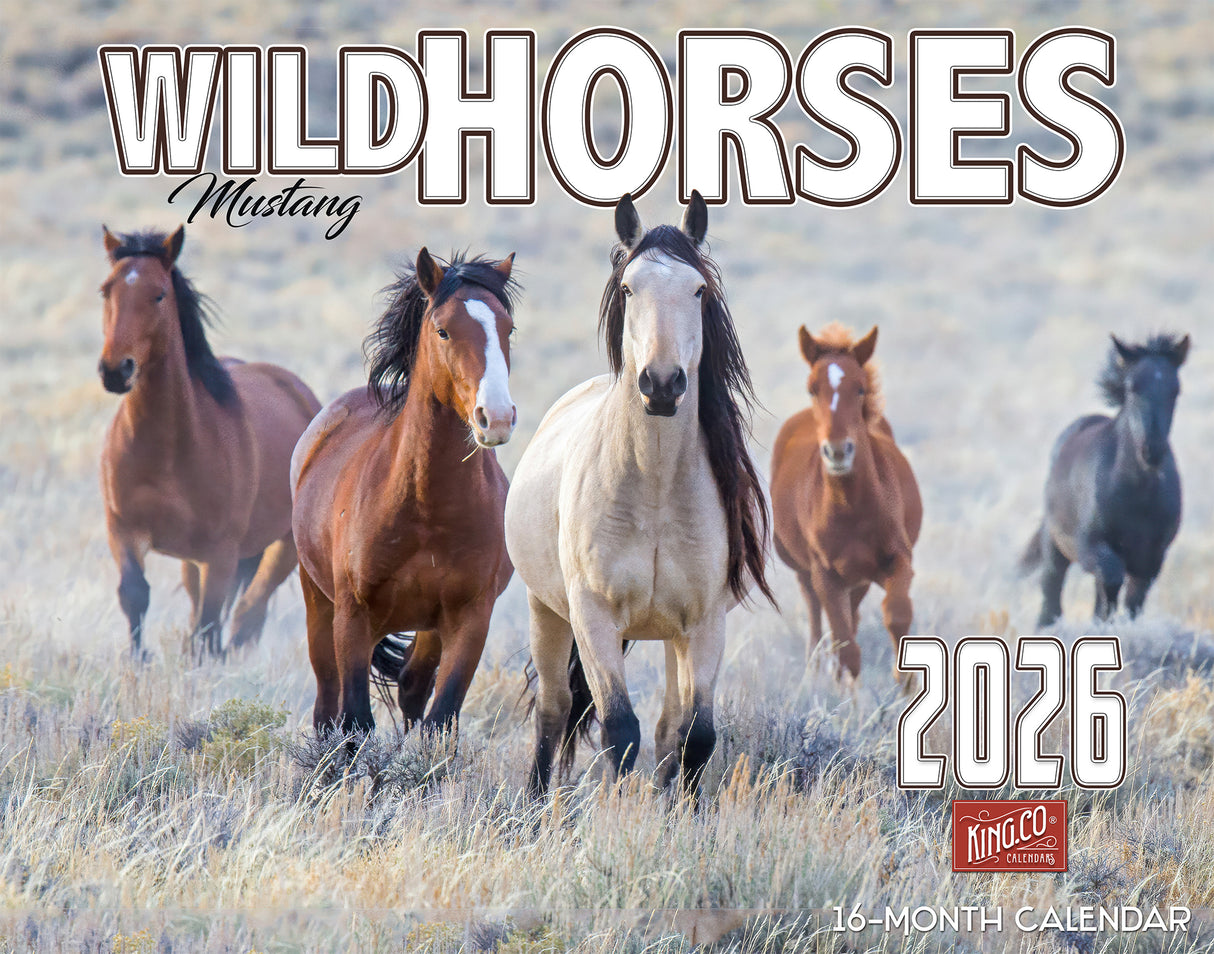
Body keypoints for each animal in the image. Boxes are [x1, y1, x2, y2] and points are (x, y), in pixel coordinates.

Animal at [98, 225, 321, 658]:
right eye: (106, 291)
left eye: (159, 294)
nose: (116, 370)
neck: (167, 451)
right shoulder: (123, 529)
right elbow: (135, 594)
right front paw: (139, 662)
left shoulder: (220, 554)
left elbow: (209, 624)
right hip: (193, 560)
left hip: (282, 548)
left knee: (247, 613)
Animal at [291, 248, 519, 737]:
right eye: (443, 330)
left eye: (508, 328)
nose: (496, 417)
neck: (427, 509)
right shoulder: (353, 617)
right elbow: (356, 721)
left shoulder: (470, 619)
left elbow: (440, 718)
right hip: (319, 604)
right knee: (327, 703)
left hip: (428, 630)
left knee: (413, 690)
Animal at [505, 191, 773, 797]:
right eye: (629, 288)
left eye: (698, 290)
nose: (663, 383)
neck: (652, 490)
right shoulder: (593, 617)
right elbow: (618, 729)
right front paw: (621, 811)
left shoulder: (704, 623)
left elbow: (694, 735)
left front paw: (680, 813)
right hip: (545, 611)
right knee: (553, 710)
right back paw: (534, 803)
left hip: (673, 638)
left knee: (670, 724)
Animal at [770, 323, 922, 683]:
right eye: (812, 388)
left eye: (860, 388)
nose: (838, 451)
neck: (851, 509)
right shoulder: (826, 576)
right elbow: (845, 647)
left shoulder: (898, 559)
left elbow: (896, 613)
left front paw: (905, 682)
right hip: (805, 568)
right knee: (814, 609)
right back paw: (813, 667)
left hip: (859, 578)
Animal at [1021, 333, 1188, 625]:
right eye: (1132, 387)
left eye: (1175, 390)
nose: (1152, 450)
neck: (1138, 496)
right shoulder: (1090, 547)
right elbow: (1110, 585)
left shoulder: (1151, 559)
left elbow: (1132, 604)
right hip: (1055, 548)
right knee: (1051, 598)